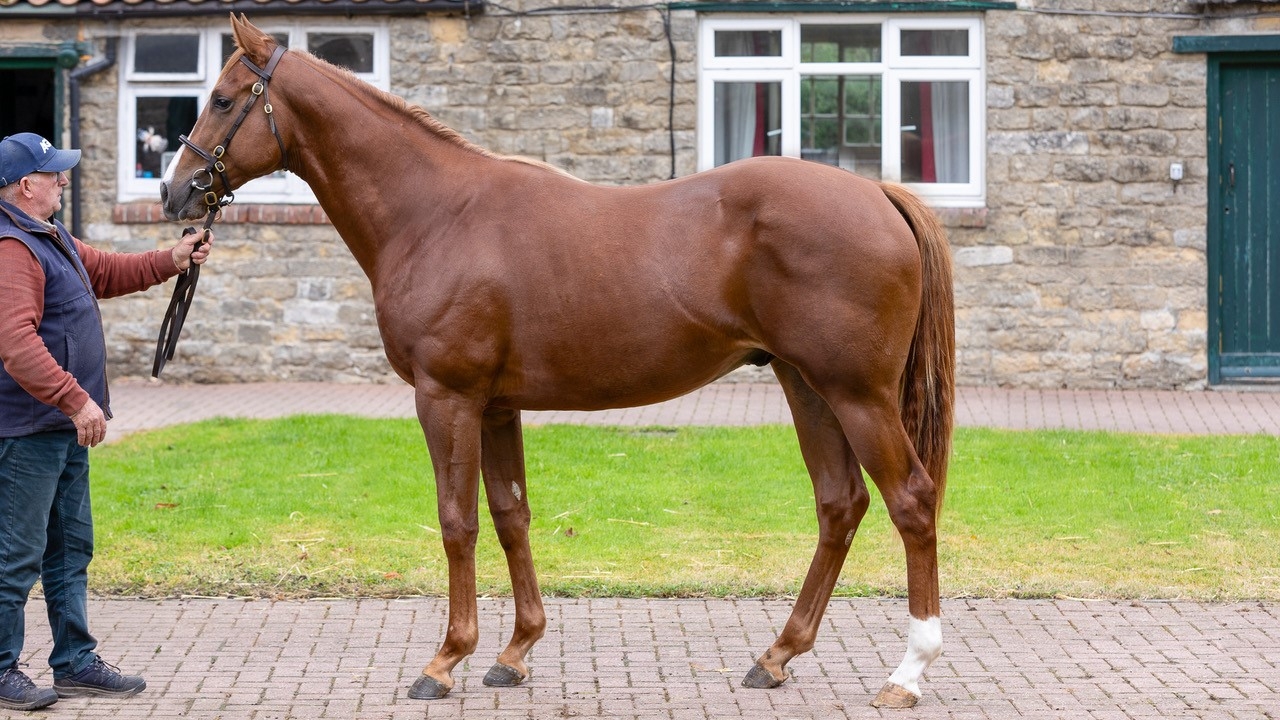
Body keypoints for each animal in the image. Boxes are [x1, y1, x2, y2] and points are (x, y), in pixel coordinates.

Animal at [160, 15, 957, 707]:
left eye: (223, 98)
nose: (173, 194)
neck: (437, 214)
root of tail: (876, 192)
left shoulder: (446, 397)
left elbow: (457, 520)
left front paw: (445, 660)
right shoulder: (496, 406)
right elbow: (510, 514)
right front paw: (514, 652)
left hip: (857, 393)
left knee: (910, 501)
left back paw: (908, 673)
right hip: (807, 386)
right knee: (840, 504)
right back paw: (777, 655)